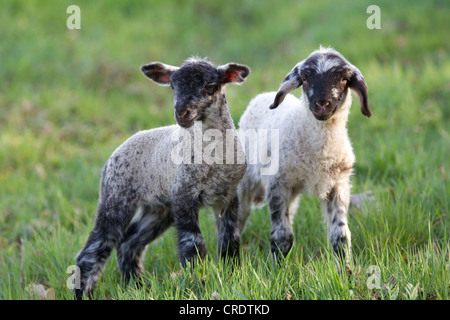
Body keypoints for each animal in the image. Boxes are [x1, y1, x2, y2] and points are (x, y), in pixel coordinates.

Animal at [74, 57, 250, 300]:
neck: (214, 157)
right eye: (173, 87)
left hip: (159, 208)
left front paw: (231, 276)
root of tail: (115, 152)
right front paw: (198, 282)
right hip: (116, 196)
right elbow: (193, 245)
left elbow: (230, 242)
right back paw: (87, 292)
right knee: (95, 248)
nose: (181, 114)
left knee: (129, 242)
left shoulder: (228, 197)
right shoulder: (184, 195)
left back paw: (136, 285)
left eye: (210, 86)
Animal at [237, 47, 370, 268]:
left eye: (343, 79)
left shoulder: (337, 186)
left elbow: (340, 236)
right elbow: (282, 236)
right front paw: (276, 272)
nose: (322, 104)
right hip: (246, 180)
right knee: (235, 217)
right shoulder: (278, 184)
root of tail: (262, 96)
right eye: (305, 78)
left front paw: (346, 271)